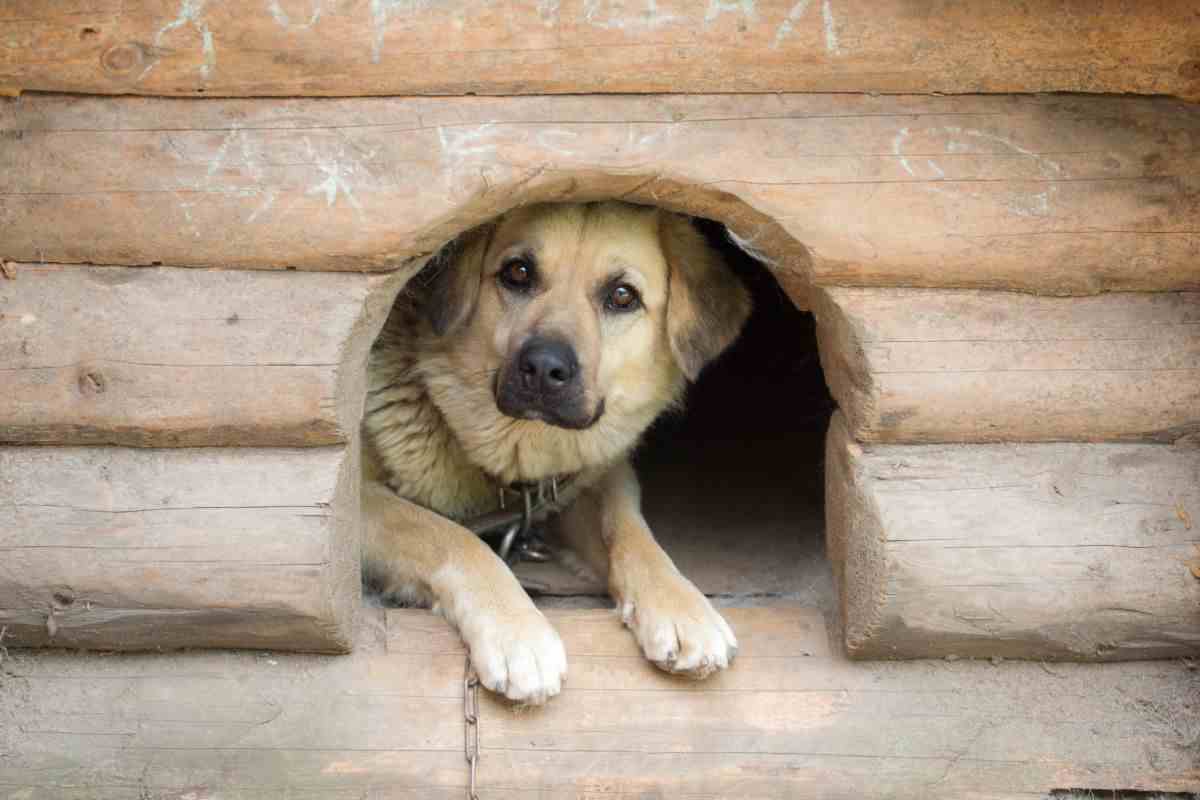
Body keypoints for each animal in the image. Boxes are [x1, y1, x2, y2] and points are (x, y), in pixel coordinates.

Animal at [360, 203, 748, 705]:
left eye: (622, 296)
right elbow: (451, 536)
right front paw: (516, 631)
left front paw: (682, 606)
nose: (544, 368)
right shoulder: (357, 501)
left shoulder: (592, 481)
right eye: (518, 272)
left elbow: (629, 530)